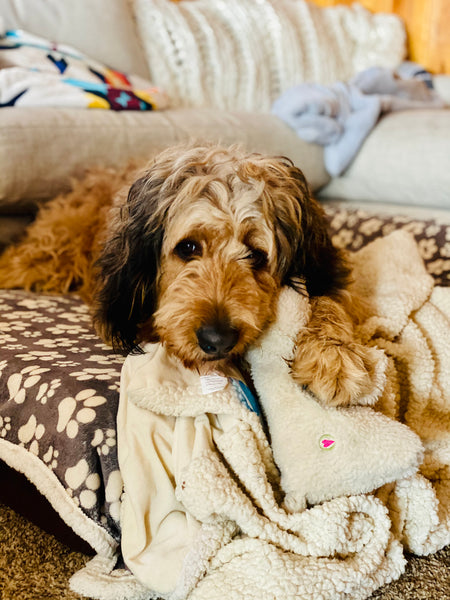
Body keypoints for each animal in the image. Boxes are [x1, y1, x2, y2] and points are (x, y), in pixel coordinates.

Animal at [0, 145, 376, 406]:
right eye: (188, 247)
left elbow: (328, 300)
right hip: (47, 254)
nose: (217, 340)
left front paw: (334, 355)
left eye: (255, 254)